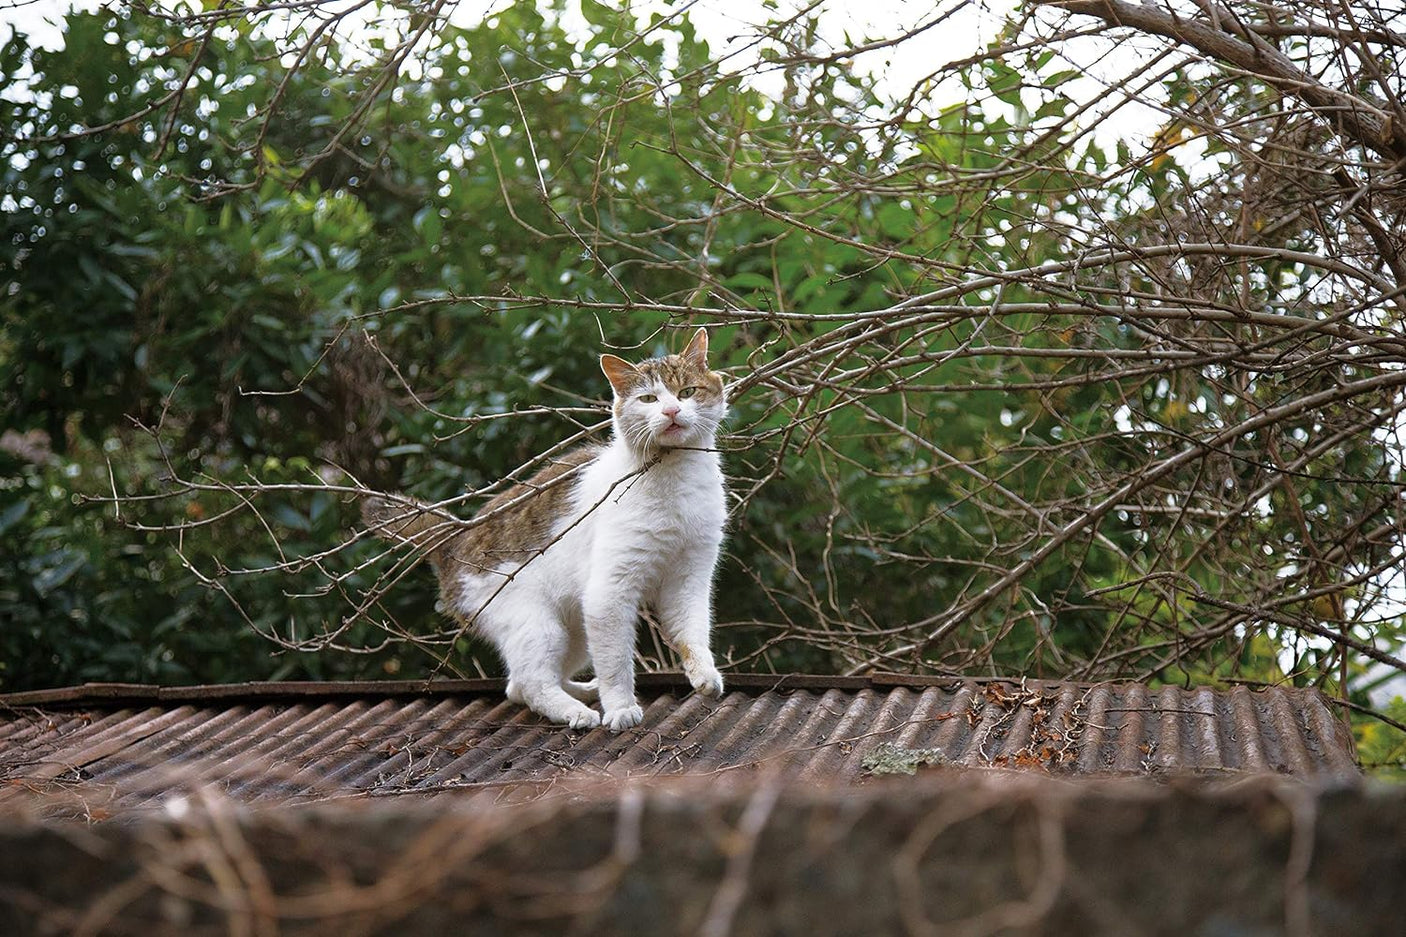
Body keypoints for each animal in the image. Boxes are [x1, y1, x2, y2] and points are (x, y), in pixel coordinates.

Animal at [362, 327, 731, 731]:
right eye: (648, 398)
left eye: (687, 392)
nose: (671, 411)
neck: (676, 480)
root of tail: (459, 536)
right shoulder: (608, 594)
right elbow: (617, 664)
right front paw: (620, 708)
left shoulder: (688, 578)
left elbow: (691, 632)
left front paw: (703, 674)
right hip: (540, 625)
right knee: (530, 683)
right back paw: (577, 711)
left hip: (576, 630)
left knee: (518, 685)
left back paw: (584, 691)